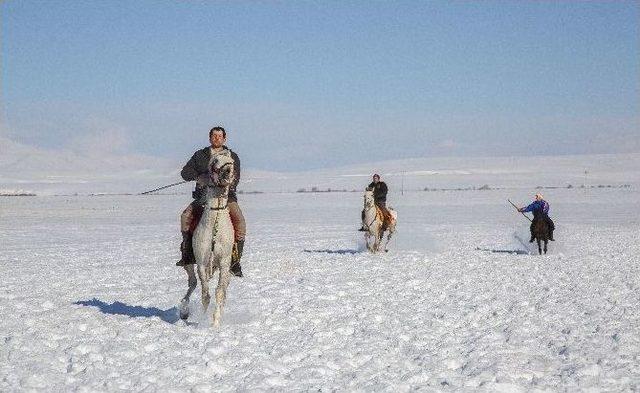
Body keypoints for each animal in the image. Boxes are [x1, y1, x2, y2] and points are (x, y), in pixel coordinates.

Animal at [180, 155, 235, 326]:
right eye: (215, 161)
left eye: (232, 161)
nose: (228, 171)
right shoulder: (202, 263)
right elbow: (205, 294)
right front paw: (203, 319)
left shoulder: (224, 263)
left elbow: (219, 292)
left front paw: (216, 321)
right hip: (189, 261)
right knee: (192, 282)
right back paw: (184, 310)